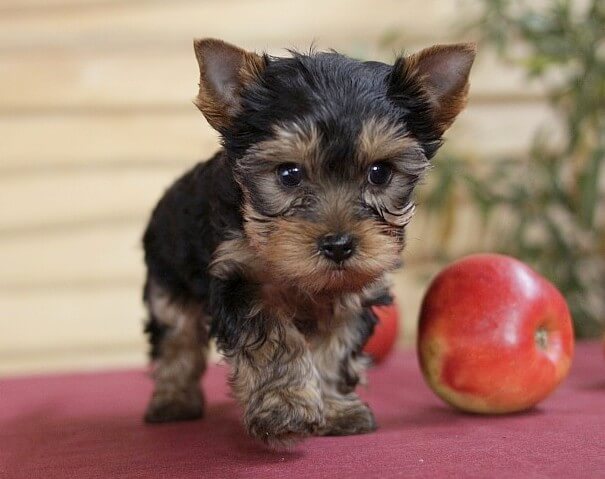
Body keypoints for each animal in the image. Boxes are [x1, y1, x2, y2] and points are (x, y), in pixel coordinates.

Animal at [142, 38, 472, 450]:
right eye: (288, 174)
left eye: (379, 173)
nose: (338, 245)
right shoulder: (242, 279)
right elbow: (274, 341)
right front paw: (286, 406)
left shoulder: (353, 293)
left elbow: (336, 349)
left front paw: (335, 409)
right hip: (167, 278)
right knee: (176, 339)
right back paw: (173, 400)